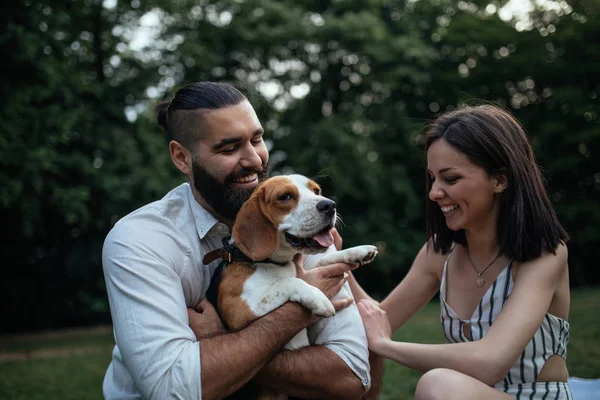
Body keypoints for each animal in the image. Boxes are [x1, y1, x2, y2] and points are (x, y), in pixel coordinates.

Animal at [213, 173, 378, 352]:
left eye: (316, 191)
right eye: (285, 196)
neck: (273, 263)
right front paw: (318, 298)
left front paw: (358, 251)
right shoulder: (239, 310)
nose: (330, 205)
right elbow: (288, 282)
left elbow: (324, 260)